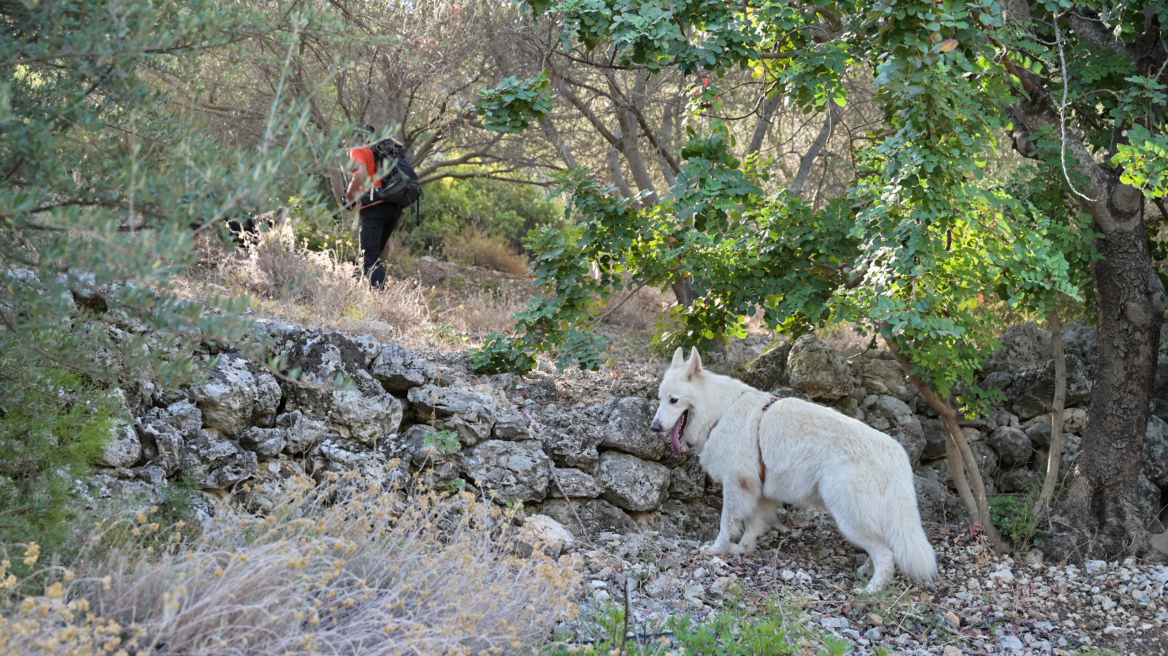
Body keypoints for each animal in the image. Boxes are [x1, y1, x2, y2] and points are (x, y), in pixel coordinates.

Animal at [649, 345, 939, 590]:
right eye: (660, 399)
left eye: (674, 401)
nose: (653, 427)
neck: (721, 410)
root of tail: (896, 454)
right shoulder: (758, 488)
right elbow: (753, 524)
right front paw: (743, 550)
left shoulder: (737, 483)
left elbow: (727, 522)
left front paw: (718, 549)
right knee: (883, 549)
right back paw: (866, 572)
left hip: (848, 516)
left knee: (886, 554)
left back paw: (871, 591)